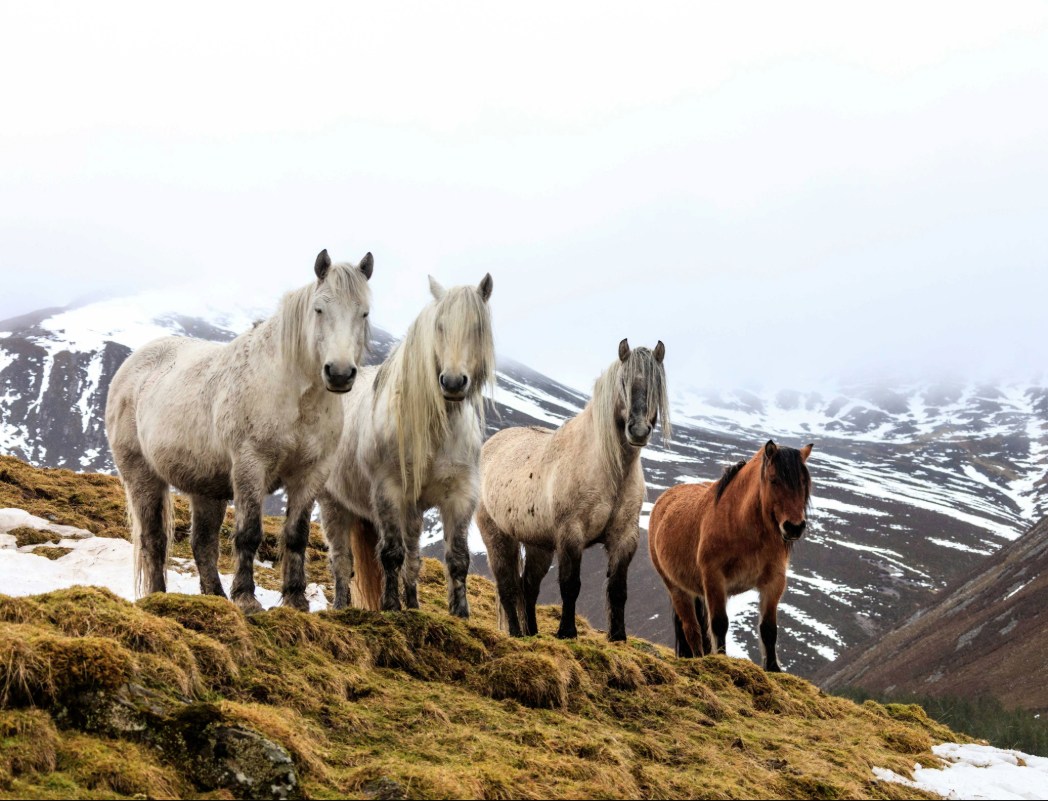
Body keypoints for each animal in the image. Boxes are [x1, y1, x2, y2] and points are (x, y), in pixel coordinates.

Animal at [105, 249, 374, 613]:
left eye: (364, 313)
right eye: (319, 309)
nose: (340, 373)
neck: (293, 394)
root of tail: (132, 365)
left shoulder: (311, 473)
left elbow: (297, 535)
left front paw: (295, 600)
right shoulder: (251, 465)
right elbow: (249, 532)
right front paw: (247, 599)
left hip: (206, 488)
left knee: (202, 543)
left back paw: (216, 597)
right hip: (141, 476)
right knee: (154, 539)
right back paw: (159, 596)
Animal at [318, 273, 495, 617]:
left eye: (477, 328)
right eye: (439, 326)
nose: (453, 382)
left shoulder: (461, 494)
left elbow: (457, 558)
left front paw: (460, 614)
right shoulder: (389, 491)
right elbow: (391, 554)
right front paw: (390, 606)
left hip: (412, 512)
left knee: (412, 559)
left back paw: (413, 604)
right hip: (333, 504)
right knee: (342, 561)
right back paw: (342, 606)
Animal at [477, 338, 669, 642]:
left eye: (656, 384)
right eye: (623, 382)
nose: (638, 431)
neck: (608, 469)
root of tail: (490, 445)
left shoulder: (624, 537)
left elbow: (618, 589)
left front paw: (617, 637)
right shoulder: (571, 534)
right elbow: (570, 584)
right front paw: (566, 632)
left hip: (539, 545)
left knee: (528, 587)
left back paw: (532, 633)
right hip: (498, 538)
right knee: (507, 586)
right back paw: (517, 634)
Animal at [648, 439, 813, 671]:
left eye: (803, 482)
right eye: (774, 480)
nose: (794, 527)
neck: (741, 525)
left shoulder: (774, 582)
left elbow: (769, 629)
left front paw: (773, 668)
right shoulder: (714, 579)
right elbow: (719, 624)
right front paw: (722, 660)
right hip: (677, 588)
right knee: (691, 628)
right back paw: (698, 658)